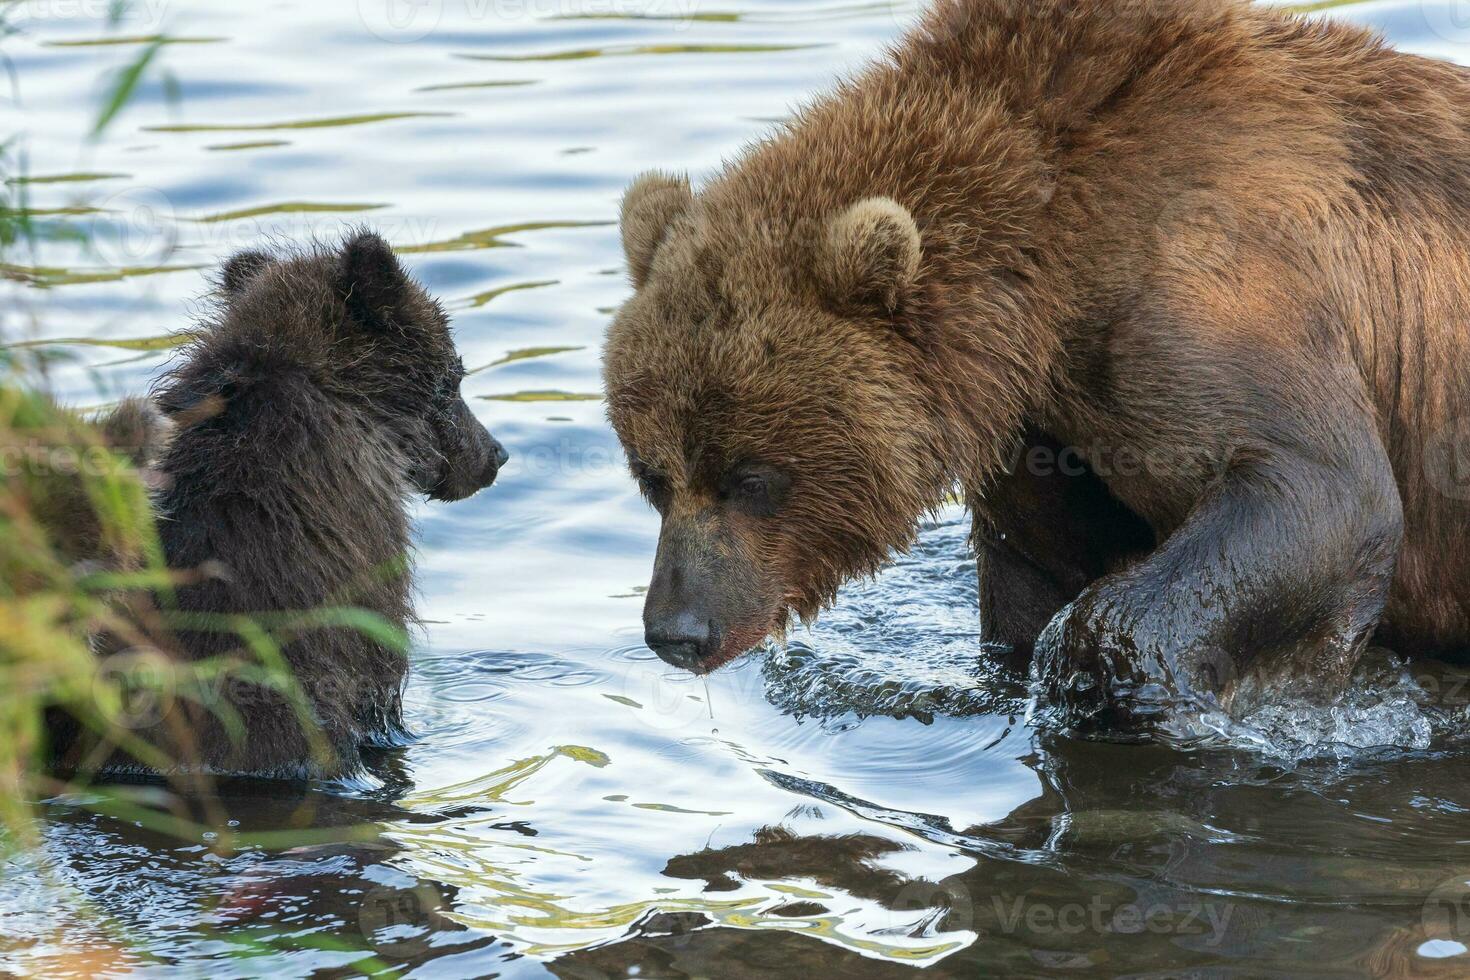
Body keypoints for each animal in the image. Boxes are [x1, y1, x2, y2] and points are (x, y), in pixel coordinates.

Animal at [596, 0, 1470, 728]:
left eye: (751, 476)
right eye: (653, 476)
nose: (677, 628)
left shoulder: (1208, 287)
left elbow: (1317, 487)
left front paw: (1111, 677)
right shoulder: (1045, 428)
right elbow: (1039, 564)